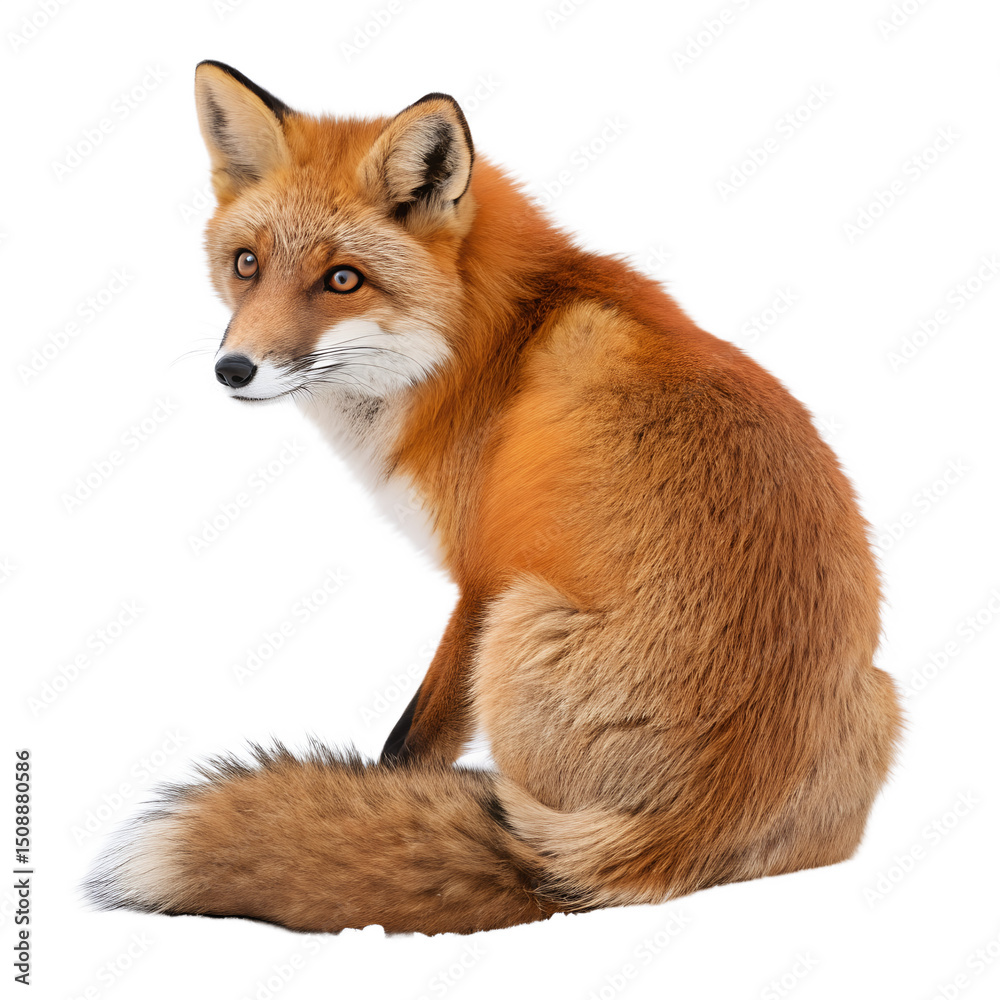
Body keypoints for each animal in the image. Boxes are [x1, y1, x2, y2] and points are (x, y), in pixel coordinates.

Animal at [85, 60, 902, 936]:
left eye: (342, 279)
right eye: (246, 264)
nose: (233, 370)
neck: (482, 341)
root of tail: (674, 839)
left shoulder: (481, 578)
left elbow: (410, 743)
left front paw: (382, 790)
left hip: (519, 624)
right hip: (884, 697)